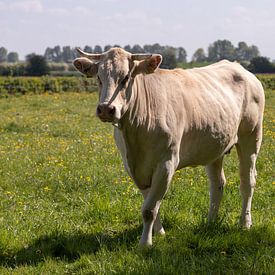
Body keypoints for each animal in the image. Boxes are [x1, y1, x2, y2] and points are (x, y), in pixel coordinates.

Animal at [73, 46, 266, 247]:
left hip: (251, 137)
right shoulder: (132, 167)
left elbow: (149, 209)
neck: (134, 136)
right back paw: (210, 222)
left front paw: (145, 244)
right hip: (215, 146)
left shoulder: (166, 163)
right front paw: (159, 233)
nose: (105, 109)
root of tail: (240, 68)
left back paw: (245, 223)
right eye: (99, 77)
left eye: (126, 77)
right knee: (217, 184)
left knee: (247, 181)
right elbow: (150, 203)